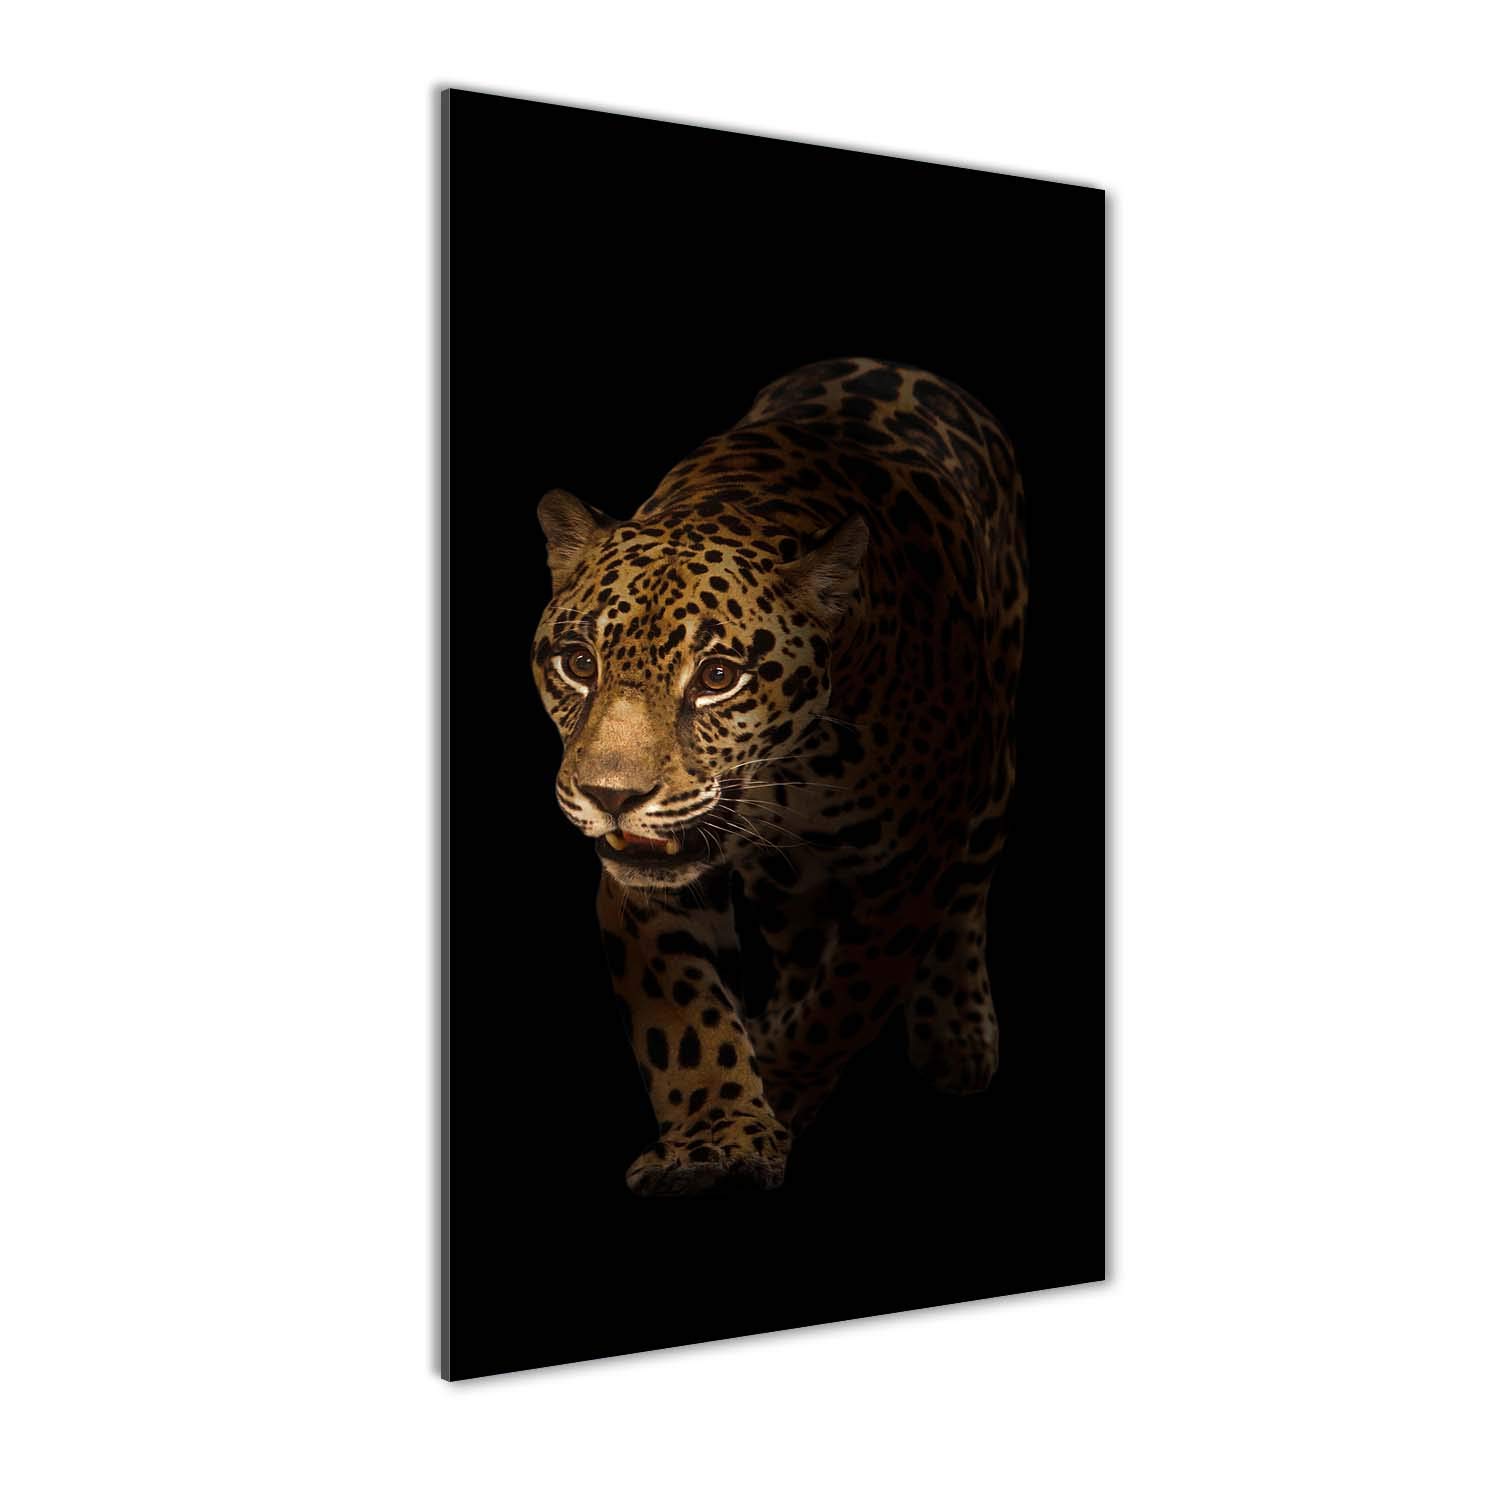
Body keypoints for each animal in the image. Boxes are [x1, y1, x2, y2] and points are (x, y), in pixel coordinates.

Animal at [531, 356, 1027, 1196]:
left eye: (718, 676)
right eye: (577, 663)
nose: (611, 797)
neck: (793, 774)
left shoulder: (911, 867)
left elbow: (849, 1000)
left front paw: (785, 1090)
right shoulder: (650, 879)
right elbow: (683, 1016)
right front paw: (718, 1135)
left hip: (991, 767)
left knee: (968, 891)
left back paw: (956, 1028)